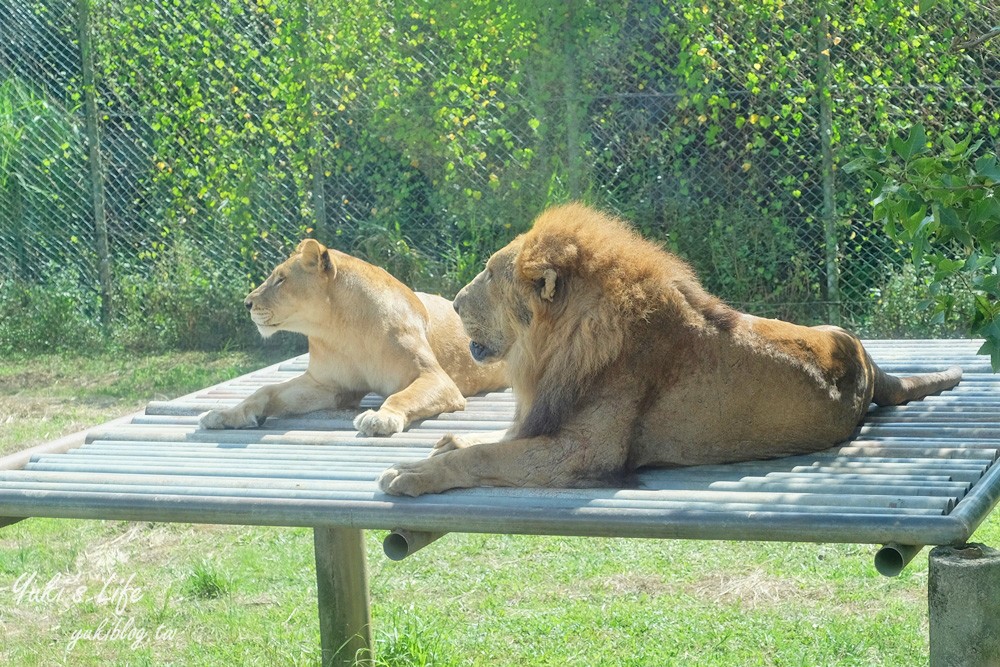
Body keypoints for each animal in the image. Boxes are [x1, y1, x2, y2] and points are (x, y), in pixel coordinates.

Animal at [198, 240, 508, 438]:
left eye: (281, 279)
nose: (247, 303)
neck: (339, 330)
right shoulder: (327, 387)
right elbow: (264, 391)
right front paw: (224, 415)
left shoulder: (437, 379)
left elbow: (402, 395)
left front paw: (380, 418)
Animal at [378, 204, 964, 496]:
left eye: (492, 275)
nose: (454, 303)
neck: (552, 351)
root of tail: (866, 360)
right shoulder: (544, 418)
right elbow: (488, 439)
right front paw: (446, 443)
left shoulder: (583, 455)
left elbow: (485, 454)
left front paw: (415, 474)